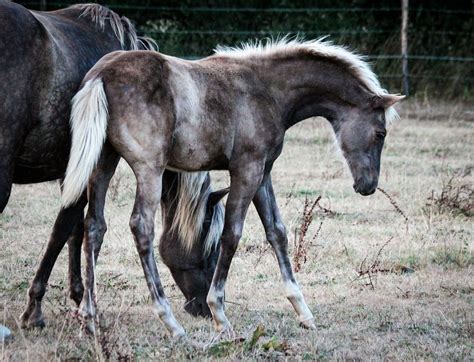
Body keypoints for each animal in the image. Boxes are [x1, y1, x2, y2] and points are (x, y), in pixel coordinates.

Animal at [0, 0, 224, 328]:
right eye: (211, 247)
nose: (205, 307)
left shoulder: (73, 174)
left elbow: (74, 230)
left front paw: (78, 295)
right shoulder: (91, 167)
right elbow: (67, 229)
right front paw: (38, 308)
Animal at [62, 36, 404, 336]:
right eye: (380, 133)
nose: (368, 185)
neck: (266, 90)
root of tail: (102, 75)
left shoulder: (263, 173)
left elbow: (277, 232)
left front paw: (303, 312)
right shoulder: (246, 170)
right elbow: (232, 235)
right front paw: (220, 315)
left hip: (103, 161)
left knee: (94, 225)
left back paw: (90, 317)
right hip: (150, 169)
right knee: (140, 226)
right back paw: (171, 323)